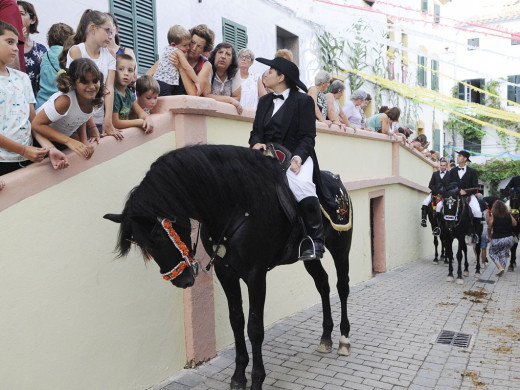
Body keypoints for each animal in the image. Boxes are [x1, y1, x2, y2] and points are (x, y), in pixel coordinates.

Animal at [102, 144, 354, 390]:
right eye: (143, 245)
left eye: (158, 238)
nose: (182, 280)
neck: (236, 204)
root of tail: (337, 181)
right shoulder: (226, 272)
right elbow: (237, 321)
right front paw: (239, 376)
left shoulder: (256, 275)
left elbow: (254, 327)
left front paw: (257, 379)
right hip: (310, 259)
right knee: (323, 284)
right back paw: (326, 337)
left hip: (341, 248)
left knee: (342, 286)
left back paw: (344, 340)